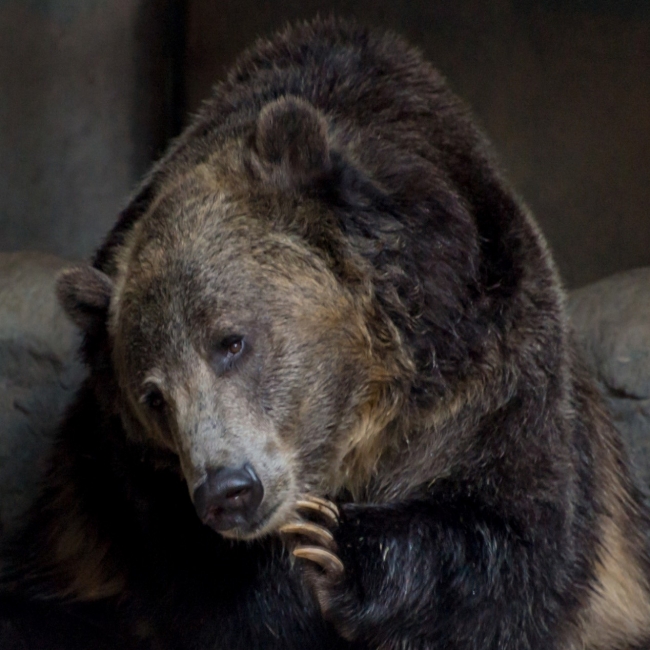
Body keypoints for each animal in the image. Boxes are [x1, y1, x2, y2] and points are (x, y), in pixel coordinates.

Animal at [2, 16, 650, 650]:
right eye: (153, 396)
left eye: (231, 342)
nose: (228, 489)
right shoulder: (125, 485)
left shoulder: (492, 372)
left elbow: (516, 542)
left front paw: (334, 545)